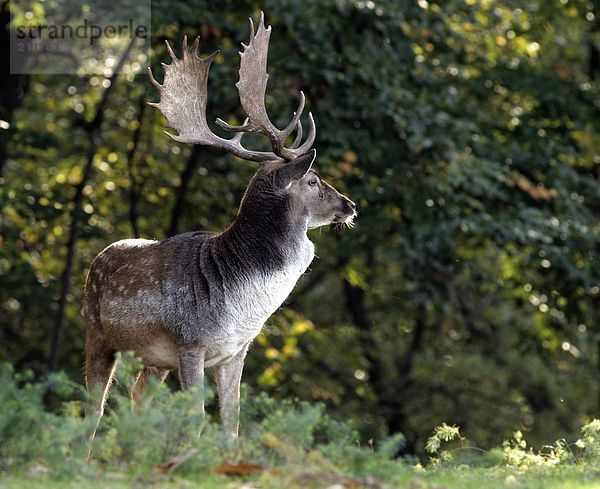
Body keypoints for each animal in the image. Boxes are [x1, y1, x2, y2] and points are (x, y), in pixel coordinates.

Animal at [84, 14, 356, 442]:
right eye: (313, 180)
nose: (349, 205)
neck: (242, 303)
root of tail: (98, 257)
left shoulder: (236, 351)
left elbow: (232, 423)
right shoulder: (190, 342)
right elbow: (195, 421)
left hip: (152, 359)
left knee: (137, 396)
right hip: (96, 331)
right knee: (92, 408)